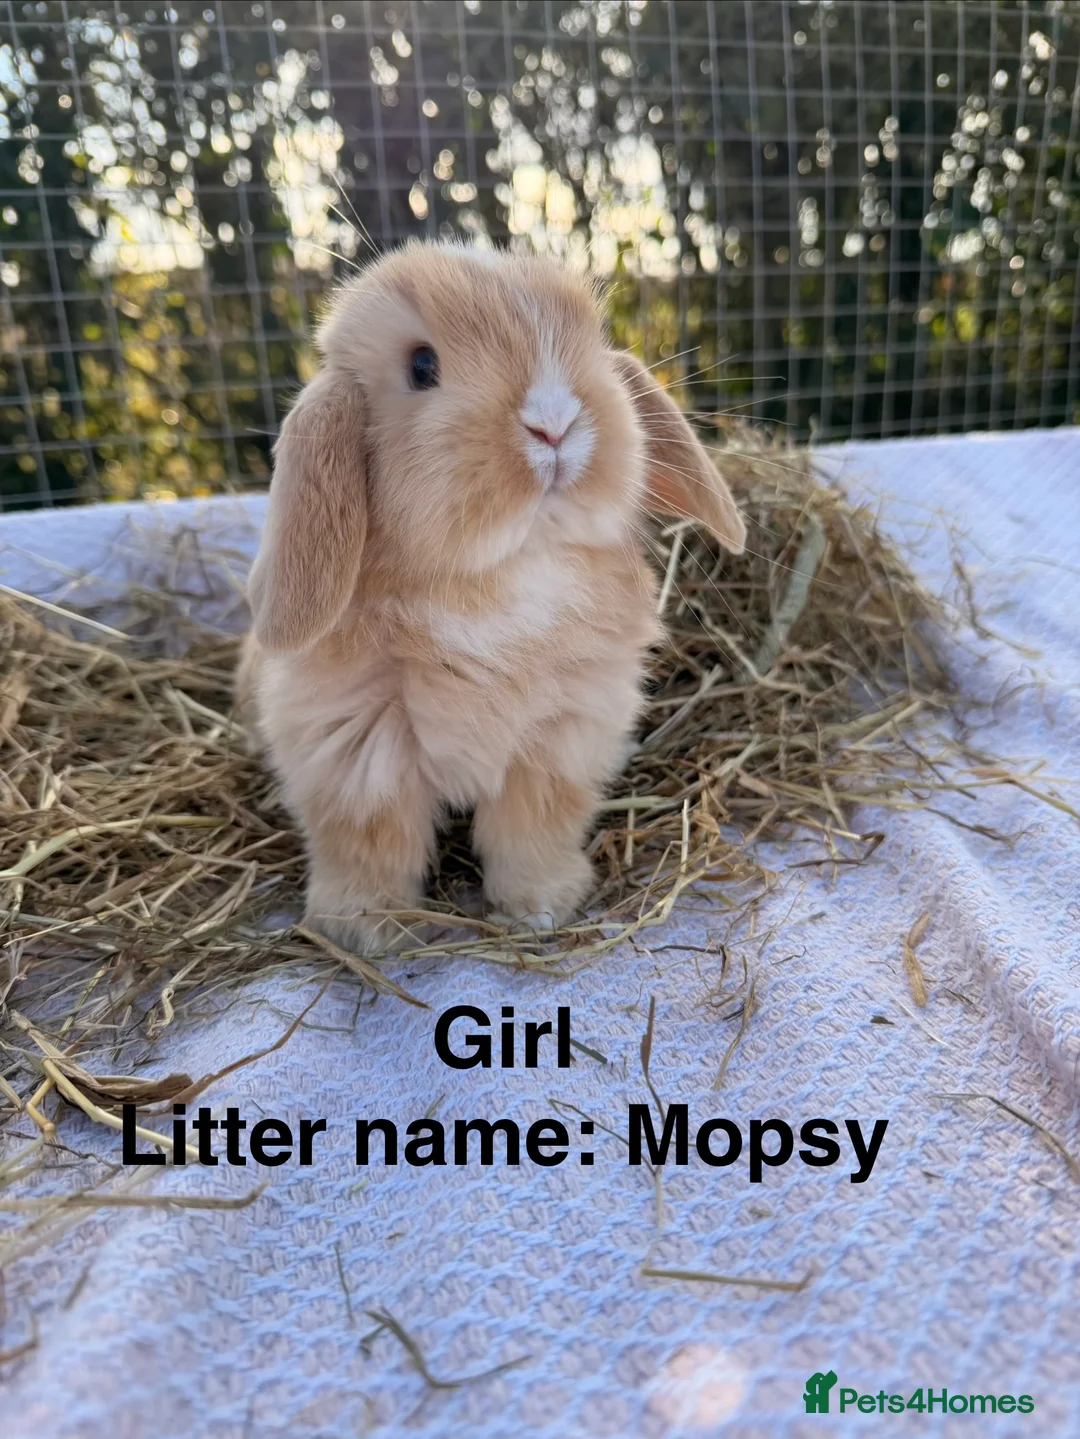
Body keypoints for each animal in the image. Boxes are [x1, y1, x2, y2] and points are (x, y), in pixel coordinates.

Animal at [240, 241, 745, 954]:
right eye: (422, 366)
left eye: (592, 341)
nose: (555, 424)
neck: (502, 575)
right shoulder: (357, 752)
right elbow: (370, 842)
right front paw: (365, 930)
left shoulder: (559, 743)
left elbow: (531, 831)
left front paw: (541, 910)